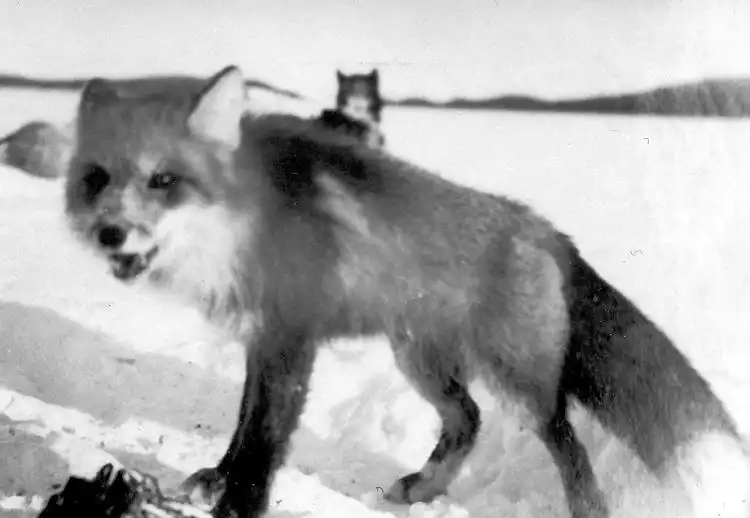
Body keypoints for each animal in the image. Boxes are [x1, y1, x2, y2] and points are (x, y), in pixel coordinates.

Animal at [63, 65, 749, 518]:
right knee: (468, 421)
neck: (247, 223)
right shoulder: (262, 339)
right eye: (97, 180)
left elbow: (263, 438)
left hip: (521, 387)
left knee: (568, 449)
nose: (109, 233)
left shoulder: (291, 338)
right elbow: (241, 427)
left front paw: (238, 506)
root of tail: (546, 229)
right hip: (420, 362)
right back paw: (422, 488)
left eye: (164, 180)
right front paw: (215, 483)